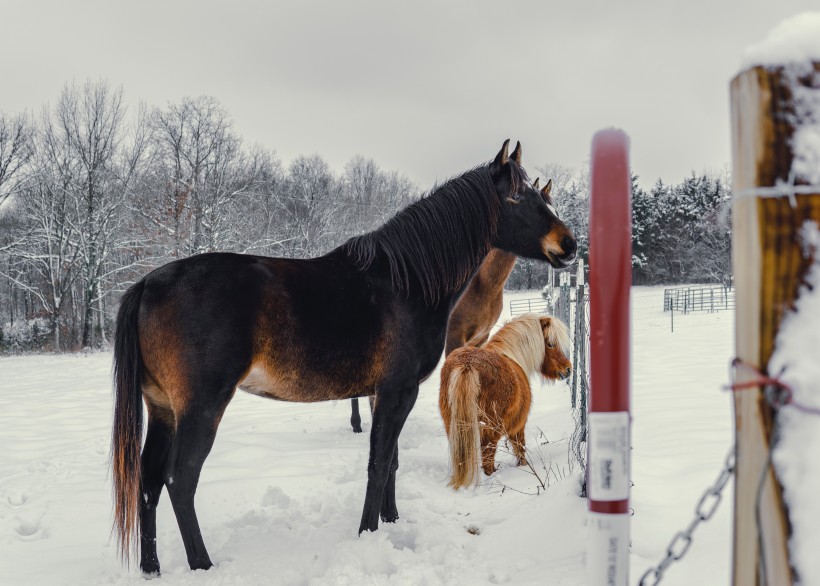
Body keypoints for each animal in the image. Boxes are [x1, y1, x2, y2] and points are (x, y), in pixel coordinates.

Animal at [442, 312, 572, 486]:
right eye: (551, 344)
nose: (568, 369)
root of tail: (467, 365)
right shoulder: (518, 426)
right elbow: (520, 451)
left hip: (454, 428)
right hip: (489, 432)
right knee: (488, 460)